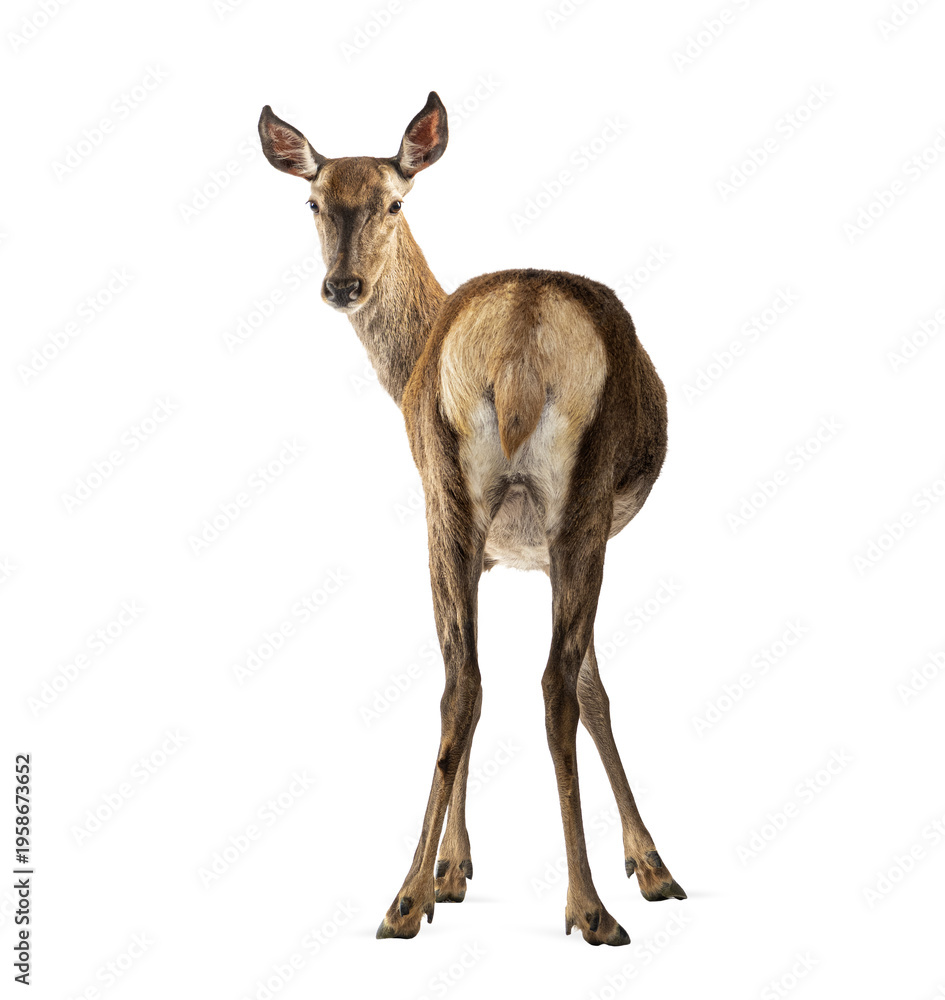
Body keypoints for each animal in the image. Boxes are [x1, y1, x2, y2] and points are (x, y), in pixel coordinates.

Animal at [257, 91, 686, 946]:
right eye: (314, 201)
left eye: (393, 201)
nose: (342, 285)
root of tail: (519, 337)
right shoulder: (534, 543)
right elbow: (588, 687)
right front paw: (647, 866)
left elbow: (557, 686)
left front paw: (450, 872)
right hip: (568, 507)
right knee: (534, 682)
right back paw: (582, 907)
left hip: (465, 503)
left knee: (475, 681)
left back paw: (411, 899)